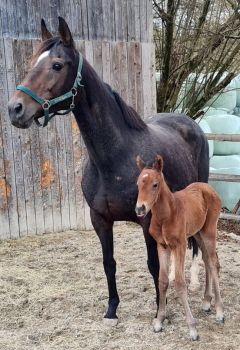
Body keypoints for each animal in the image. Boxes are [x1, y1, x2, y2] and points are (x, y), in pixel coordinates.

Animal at [135, 155, 223, 340]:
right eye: (138, 184)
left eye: (155, 184)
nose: (140, 209)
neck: (166, 215)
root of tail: (208, 187)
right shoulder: (162, 246)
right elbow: (162, 280)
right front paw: (159, 321)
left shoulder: (180, 245)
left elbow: (180, 283)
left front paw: (192, 328)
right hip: (197, 233)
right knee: (208, 260)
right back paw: (206, 301)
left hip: (209, 231)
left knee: (213, 263)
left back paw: (219, 311)